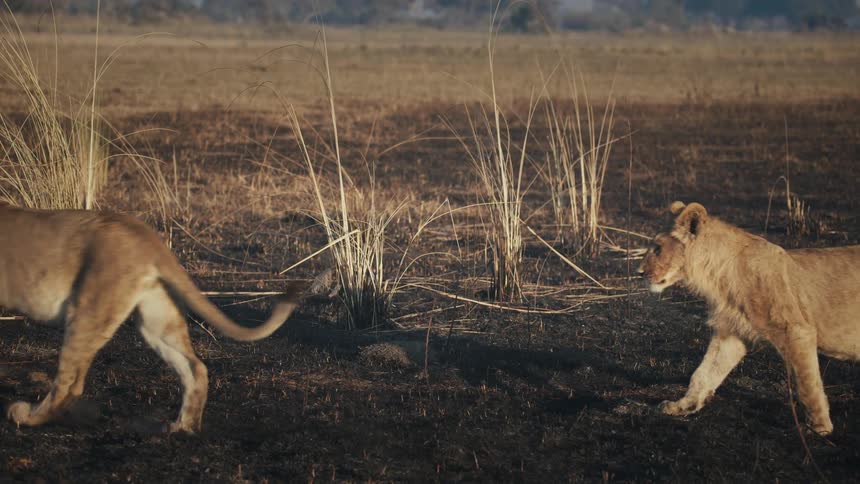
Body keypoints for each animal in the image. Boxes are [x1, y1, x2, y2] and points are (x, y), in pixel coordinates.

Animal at [0, 201, 303, 433]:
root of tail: (146, 235)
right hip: (157, 316)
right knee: (195, 367)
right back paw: (183, 428)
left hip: (88, 308)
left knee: (70, 383)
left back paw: (26, 416)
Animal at [639, 201, 860, 435]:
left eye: (657, 248)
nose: (639, 272)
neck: (717, 276)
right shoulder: (731, 333)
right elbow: (703, 373)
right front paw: (683, 405)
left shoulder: (796, 330)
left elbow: (807, 383)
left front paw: (819, 427)